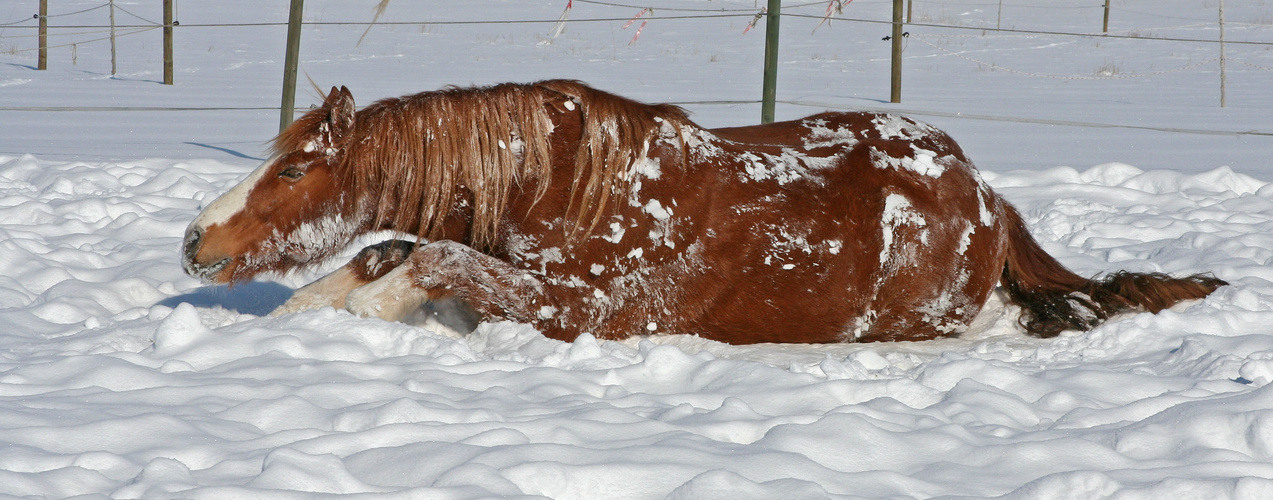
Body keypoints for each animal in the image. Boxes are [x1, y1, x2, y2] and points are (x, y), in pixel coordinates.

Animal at [179, 79, 1222, 343]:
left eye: (291, 171)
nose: (193, 239)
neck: (565, 188)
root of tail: (984, 194)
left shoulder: (589, 312)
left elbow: (430, 260)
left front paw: (367, 310)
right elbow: (393, 248)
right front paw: (310, 309)